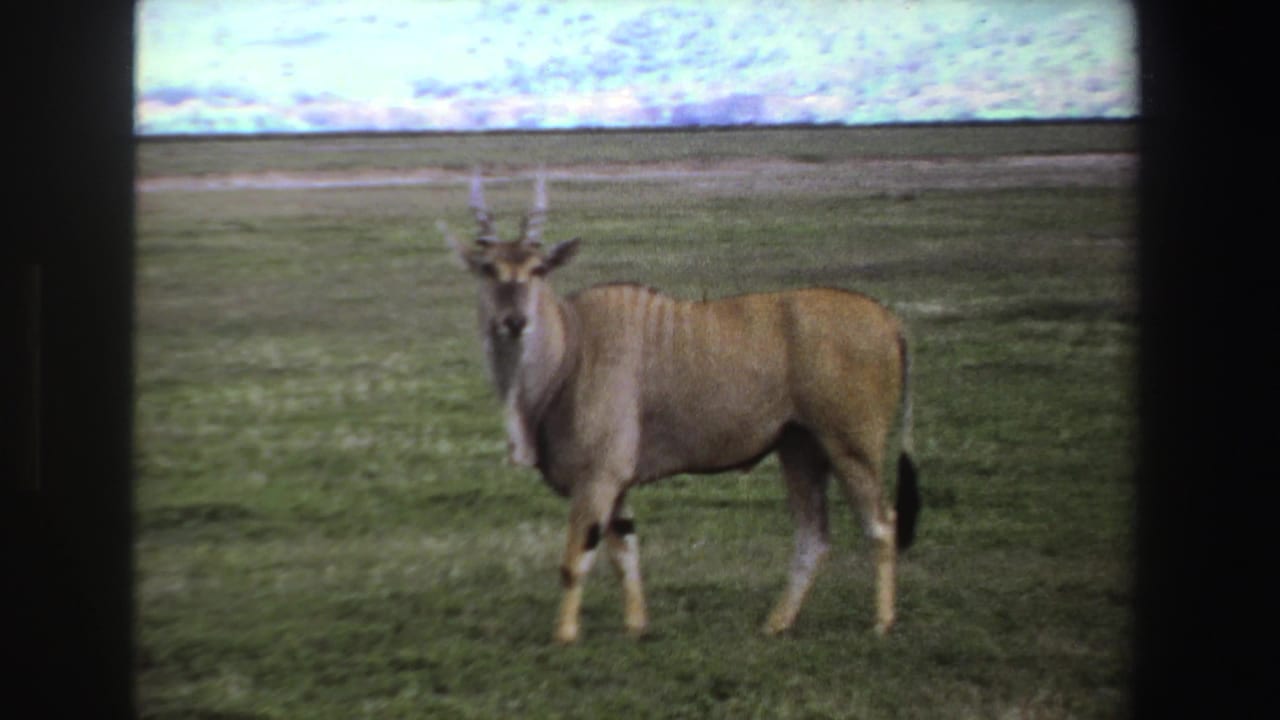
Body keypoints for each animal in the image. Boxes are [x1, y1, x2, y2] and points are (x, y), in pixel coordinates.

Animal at [441, 173, 920, 644]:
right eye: (488, 268)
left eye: (538, 269)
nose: (514, 322)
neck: (572, 347)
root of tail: (890, 321)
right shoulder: (615, 485)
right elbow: (625, 554)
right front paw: (636, 627)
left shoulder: (598, 477)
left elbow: (575, 561)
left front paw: (565, 636)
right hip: (799, 448)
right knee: (814, 536)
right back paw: (776, 623)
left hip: (850, 447)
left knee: (882, 523)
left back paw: (882, 622)